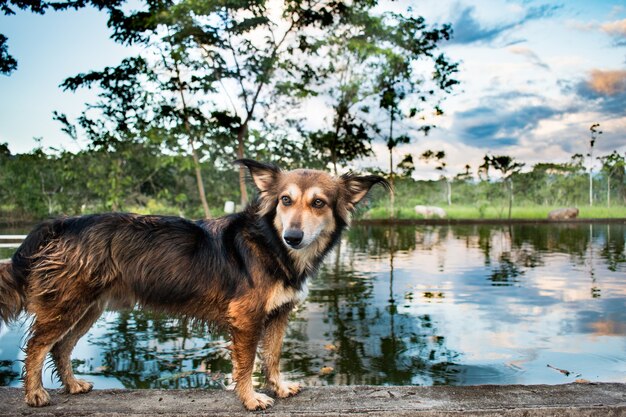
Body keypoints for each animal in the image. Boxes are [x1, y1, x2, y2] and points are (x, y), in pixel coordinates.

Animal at [0, 159, 388, 410]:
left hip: (88, 307)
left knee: (61, 347)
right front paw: (250, 398)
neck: (270, 244)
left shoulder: (279, 313)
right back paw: (35, 394)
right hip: (68, 304)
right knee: (37, 346)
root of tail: (63, 222)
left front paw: (278, 387)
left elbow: (273, 356)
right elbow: (247, 363)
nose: (293, 237)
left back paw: (72, 385)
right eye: (285, 200)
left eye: (318, 203)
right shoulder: (246, 318)